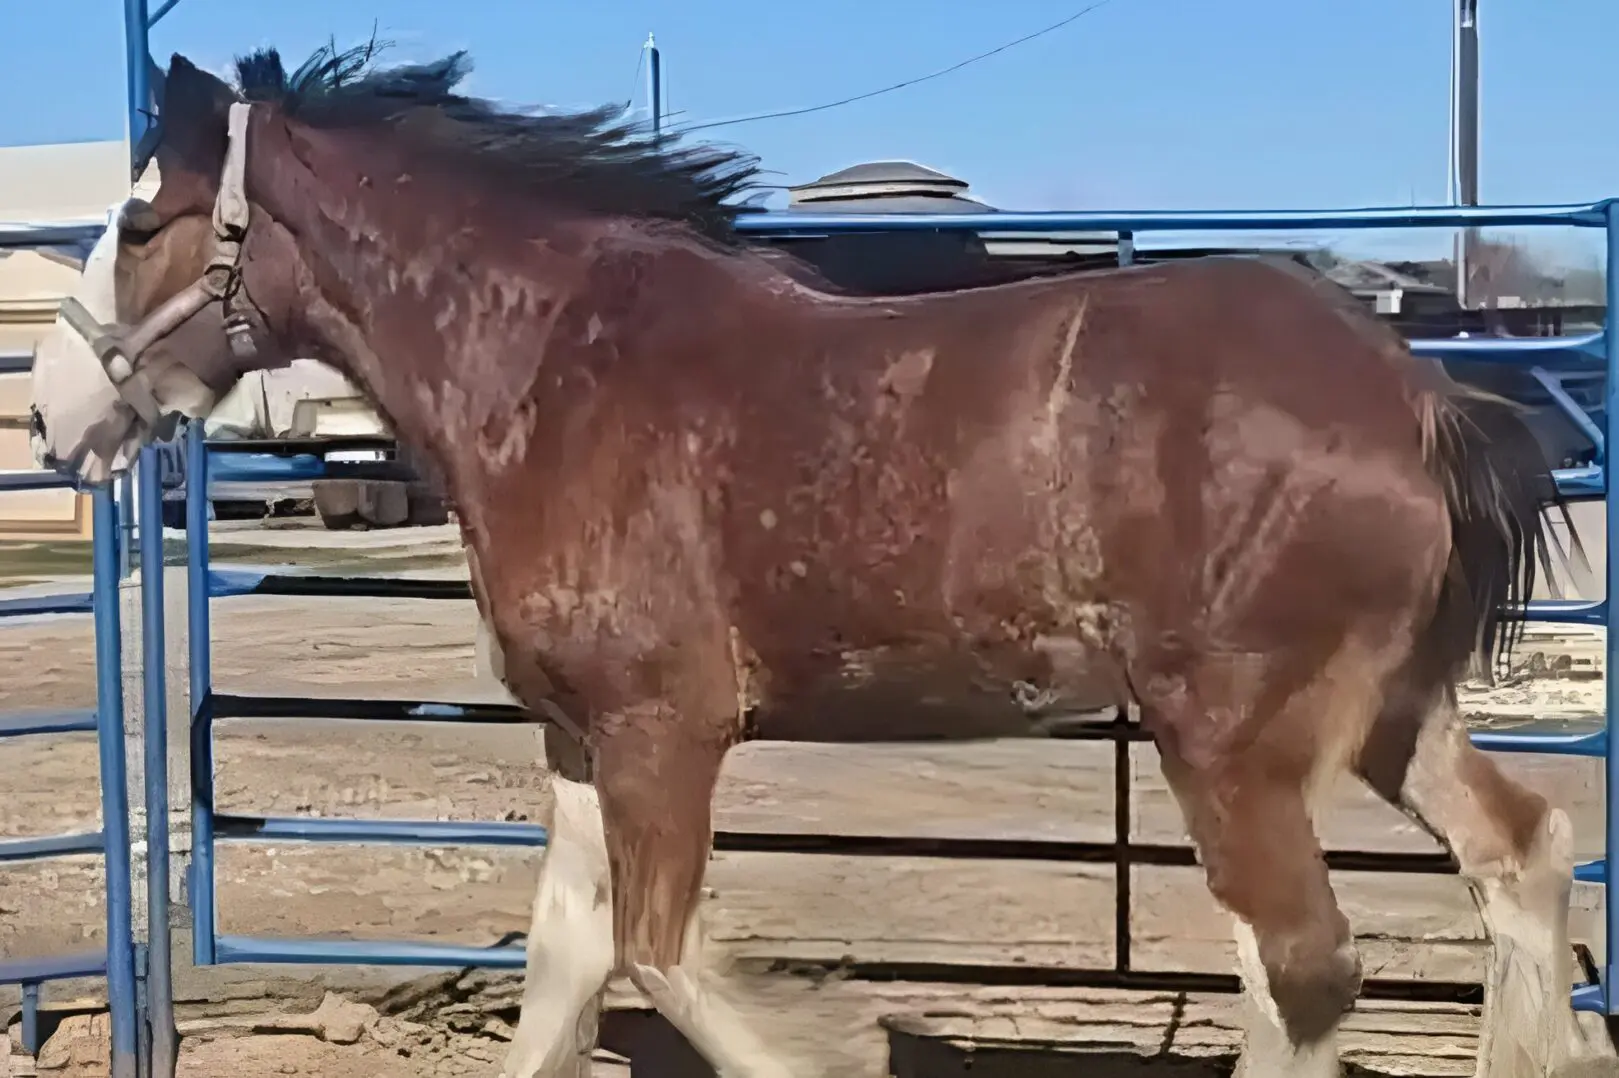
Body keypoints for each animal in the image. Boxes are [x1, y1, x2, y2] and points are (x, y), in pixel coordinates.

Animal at [29, 43, 1602, 1078]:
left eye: (141, 218)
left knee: (1302, 968)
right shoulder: (579, 736)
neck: (555, 372)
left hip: (1232, 739)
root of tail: (1418, 397)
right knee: (1515, 857)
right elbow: (567, 965)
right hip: (1384, 714)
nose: (52, 413)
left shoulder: (666, 731)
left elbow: (662, 957)